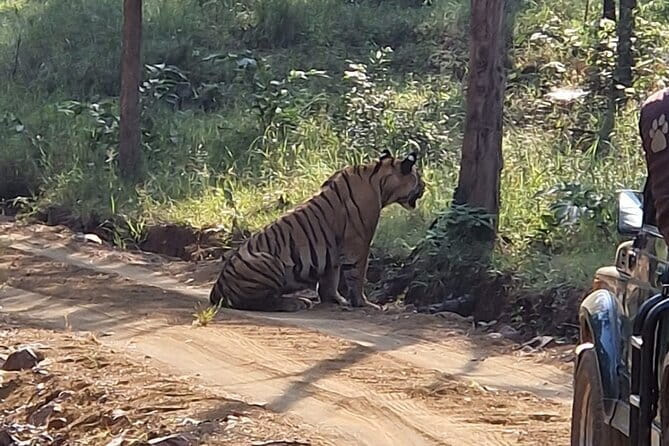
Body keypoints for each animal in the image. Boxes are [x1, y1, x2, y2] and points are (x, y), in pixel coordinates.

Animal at [209, 150, 425, 312]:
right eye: (419, 177)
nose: (425, 186)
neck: (379, 180)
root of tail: (217, 287)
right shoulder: (358, 243)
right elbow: (357, 275)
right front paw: (364, 303)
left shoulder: (335, 250)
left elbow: (331, 277)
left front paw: (334, 299)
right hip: (267, 261)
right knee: (258, 302)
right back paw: (297, 303)